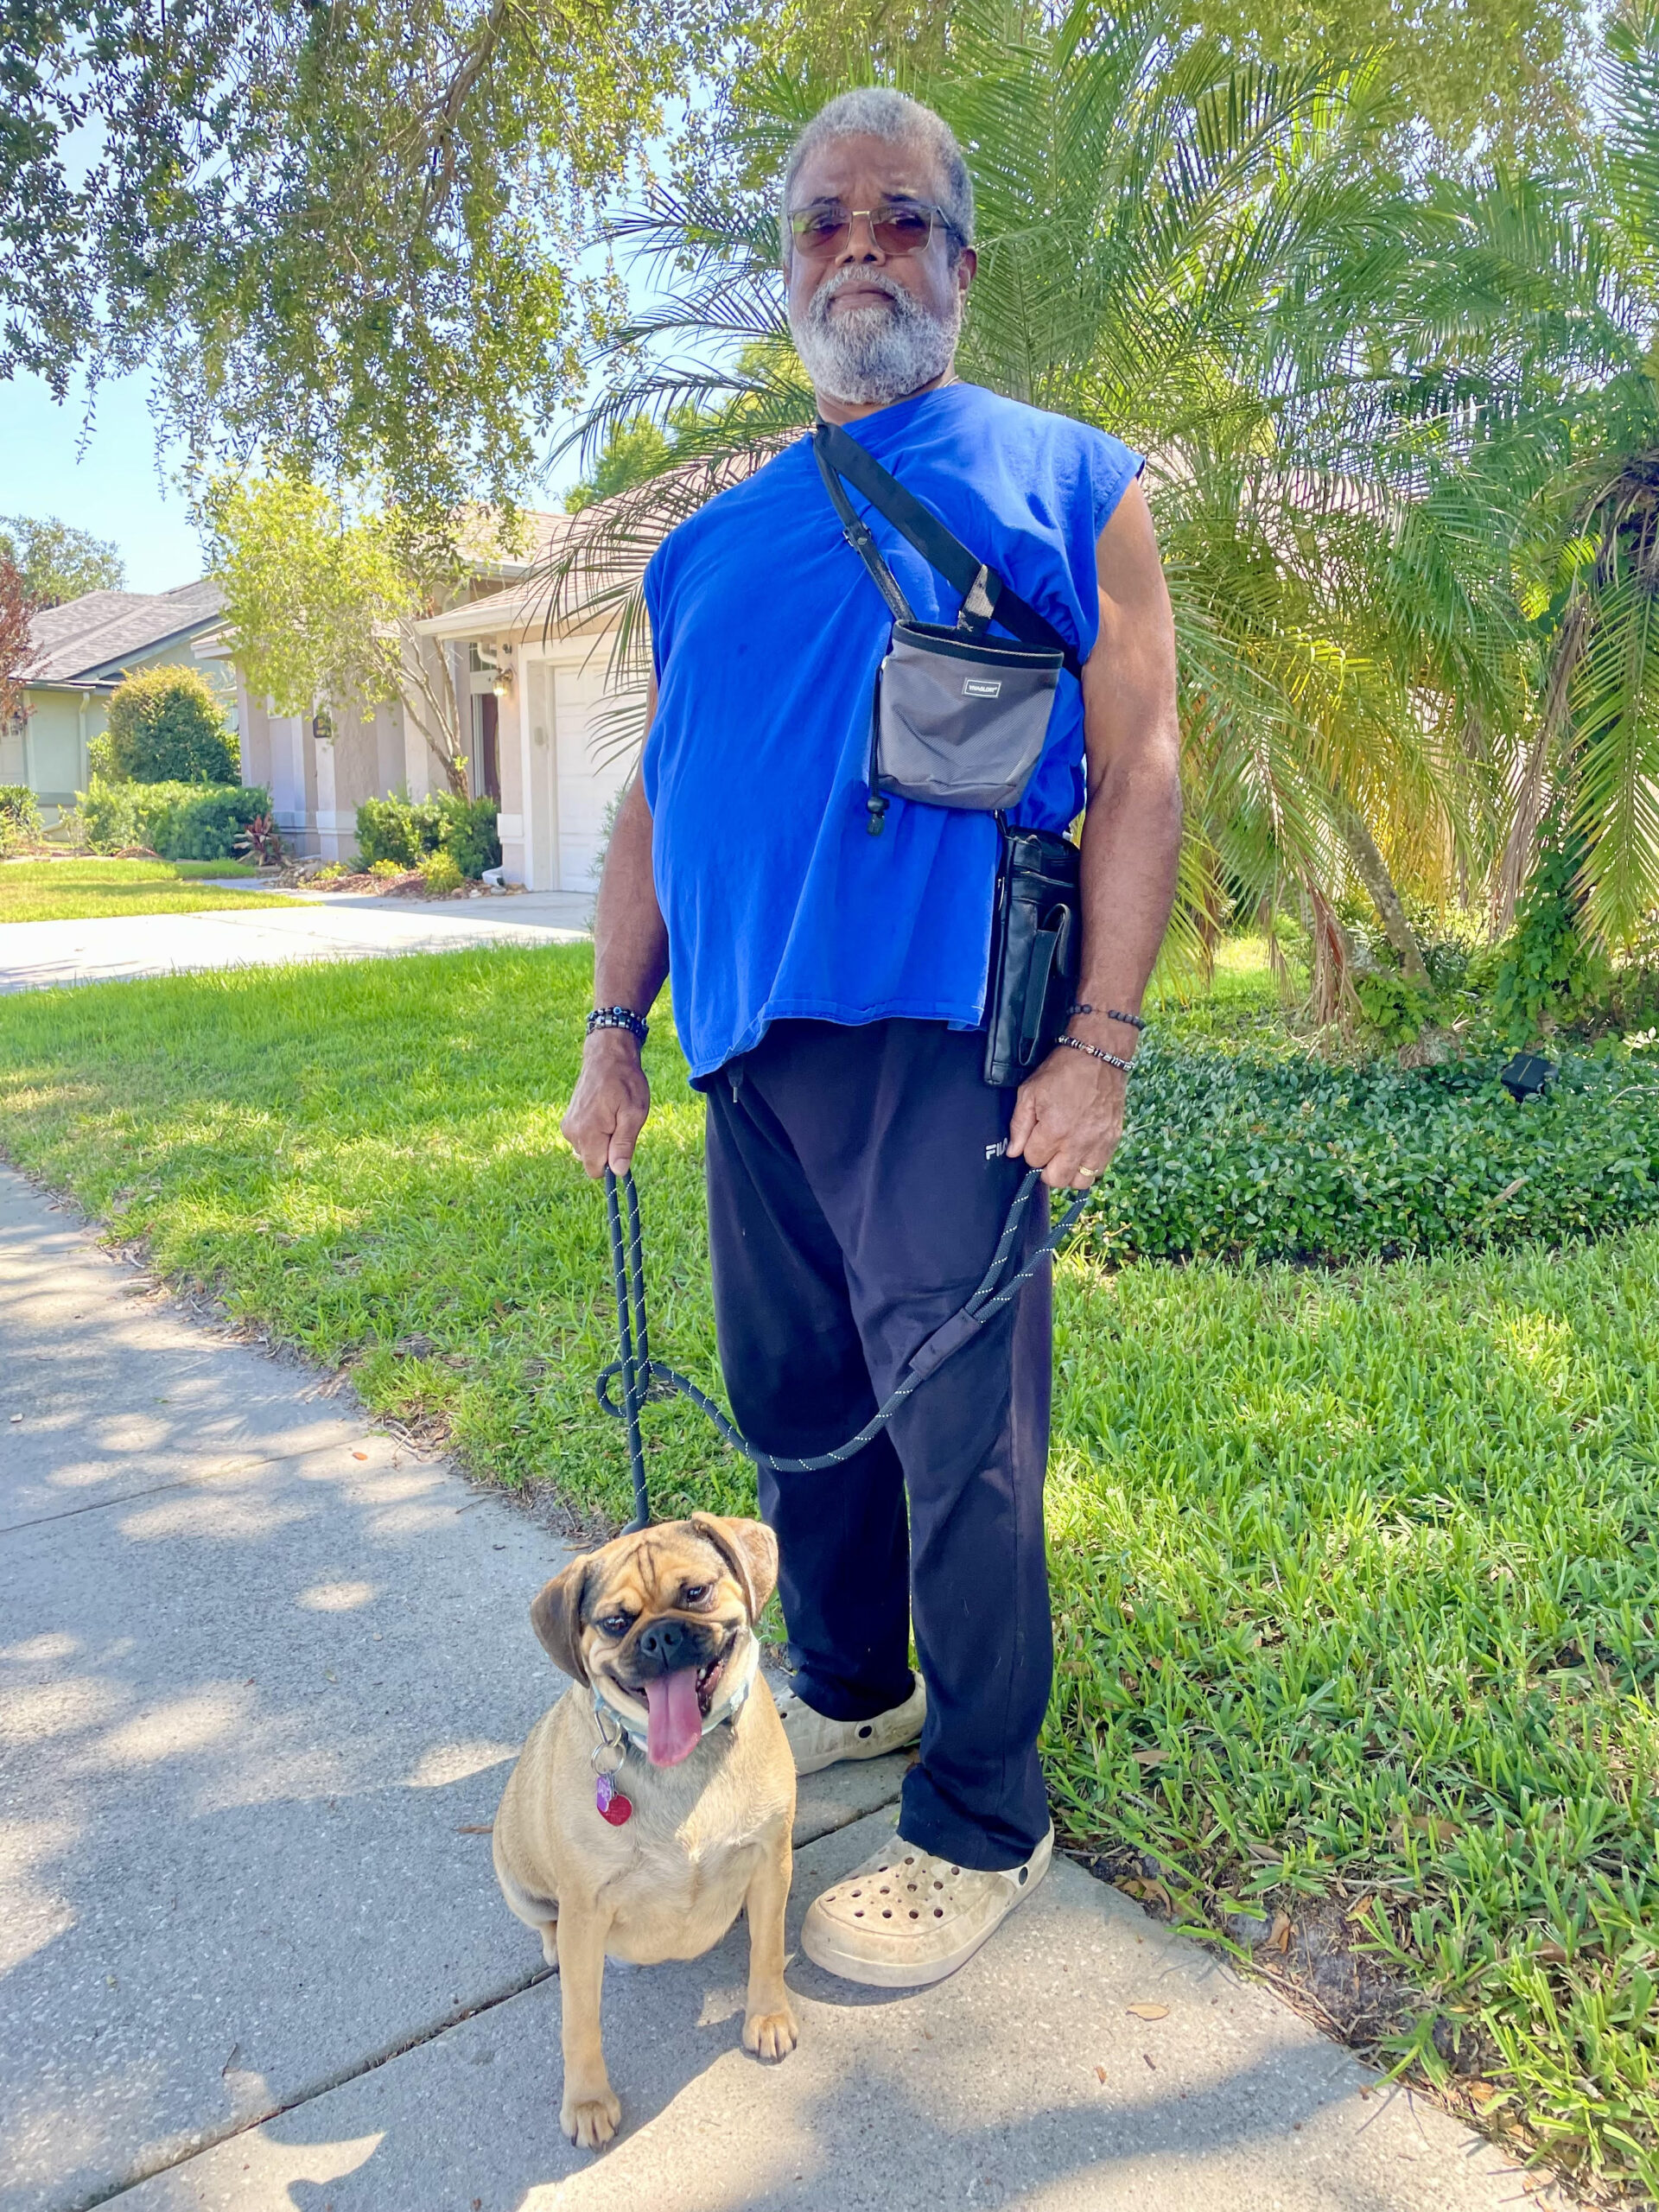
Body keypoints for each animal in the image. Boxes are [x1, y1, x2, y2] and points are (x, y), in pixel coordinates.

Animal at [493, 1513, 800, 2150]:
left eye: (696, 1593)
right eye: (616, 1622)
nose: (660, 1638)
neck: (685, 1763)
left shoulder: (770, 1860)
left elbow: (767, 1949)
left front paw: (767, 2015)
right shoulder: (586, 1911)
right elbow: (580, 2022)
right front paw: (587, 2099)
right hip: (518, 1881)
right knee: (547, 1925)